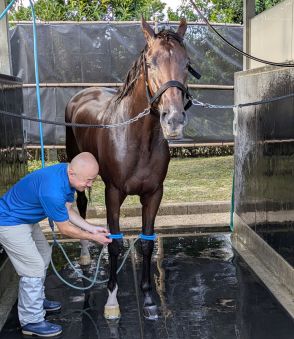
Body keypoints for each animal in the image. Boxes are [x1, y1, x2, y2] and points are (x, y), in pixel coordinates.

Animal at [65, 17, 196, 322]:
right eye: (150, 62)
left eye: (186, 64)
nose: (174, 120)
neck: (138, 138)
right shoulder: (113, 193)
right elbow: (115, 243)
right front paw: (112, 301)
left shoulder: (154, 194)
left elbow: (146, 243)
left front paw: (148, 299)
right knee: (81, 204)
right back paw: (86, 256)